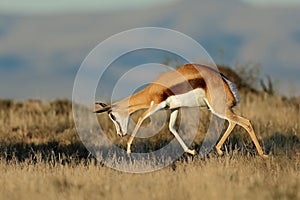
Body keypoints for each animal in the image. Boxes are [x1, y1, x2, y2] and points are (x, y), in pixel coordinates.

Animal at [94, 64, 268, 158]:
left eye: (112, 116)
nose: (120, 134)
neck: (154, 88)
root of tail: (225, 81)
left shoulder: (156, 105)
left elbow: (142, 117)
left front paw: (129, 148)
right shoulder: (174, 108)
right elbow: (172, 128)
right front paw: (191, 151)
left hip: (218, 109)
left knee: (245, 122)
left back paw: (262, 154)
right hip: (221, 109)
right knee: (234, 122)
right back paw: (219, 150)